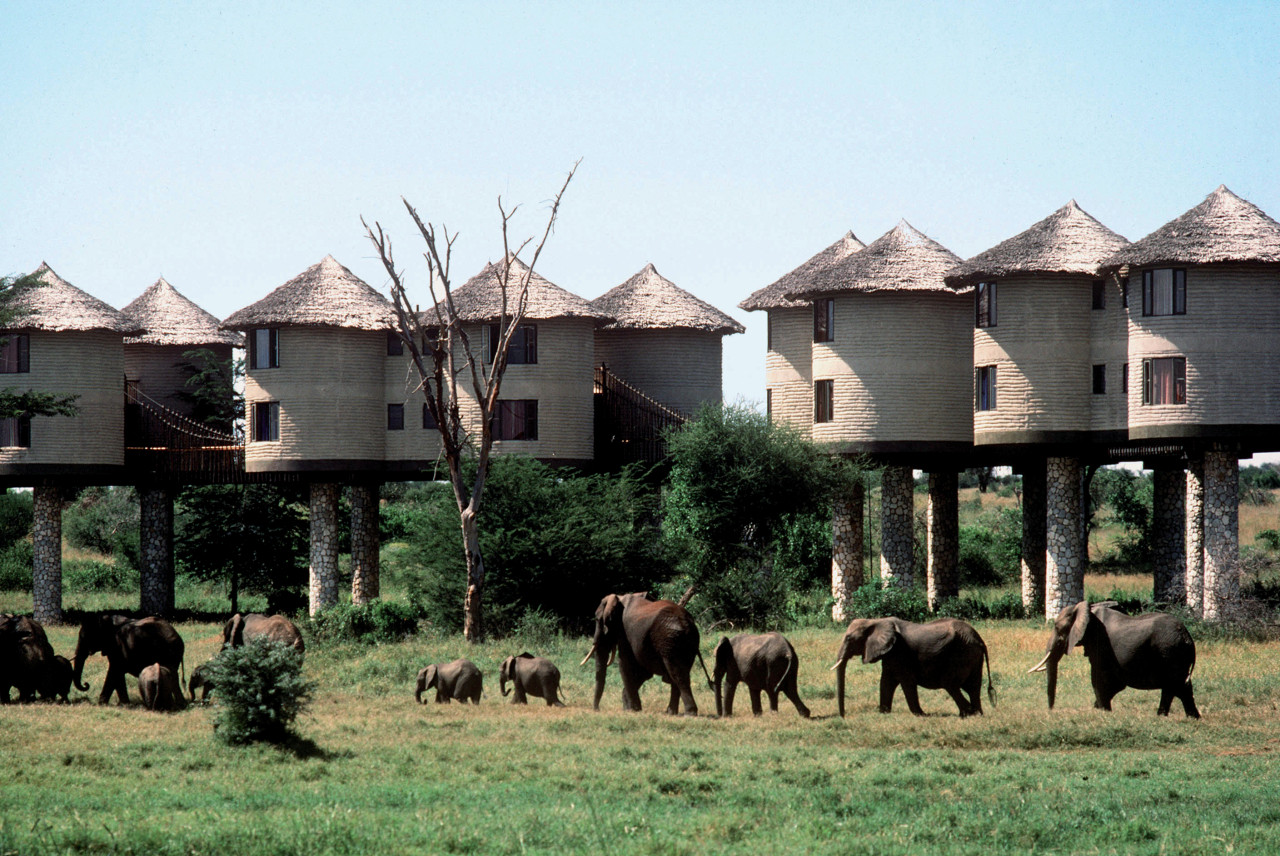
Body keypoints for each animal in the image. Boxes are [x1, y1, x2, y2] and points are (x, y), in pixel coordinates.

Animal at [581, 588, 711, 716]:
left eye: (598, 620)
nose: (597, 710)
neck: (619, 598)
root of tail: (687, 622)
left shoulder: (625, 633)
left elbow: (624, 664)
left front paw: (633, 710)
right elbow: (644, 671)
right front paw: (629, 707)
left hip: (669, 639)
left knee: (677, 674)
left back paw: (689, 713)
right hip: (687, 642)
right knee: (681, 672)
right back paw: (671, 712)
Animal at [824, 614, 993, 716]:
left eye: (848, 638)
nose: (843, 716)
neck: (875, 621)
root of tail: (979, 640)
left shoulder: (899, 652)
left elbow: (906, 681)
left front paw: (921, 715)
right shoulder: (890, 654)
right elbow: (886, 682)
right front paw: (884, 713)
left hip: (961, 654)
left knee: (950, 684)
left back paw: (968, 714)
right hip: (973, 656)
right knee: (973, 687)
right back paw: (976, 714)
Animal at [1029, 598, 1198, 716]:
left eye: (1058, 628)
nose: (1051, 711)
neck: (1087, 609)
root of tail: (1187, 636)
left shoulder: (1099, 643)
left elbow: (1098, 679)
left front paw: (1104, 713)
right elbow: (1115, 684)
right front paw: (1099, 709)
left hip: (1169, 653)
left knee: (1172, 687)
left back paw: (1163, 716)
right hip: (1176, 655)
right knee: (1182, 688)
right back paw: (1192, 718)